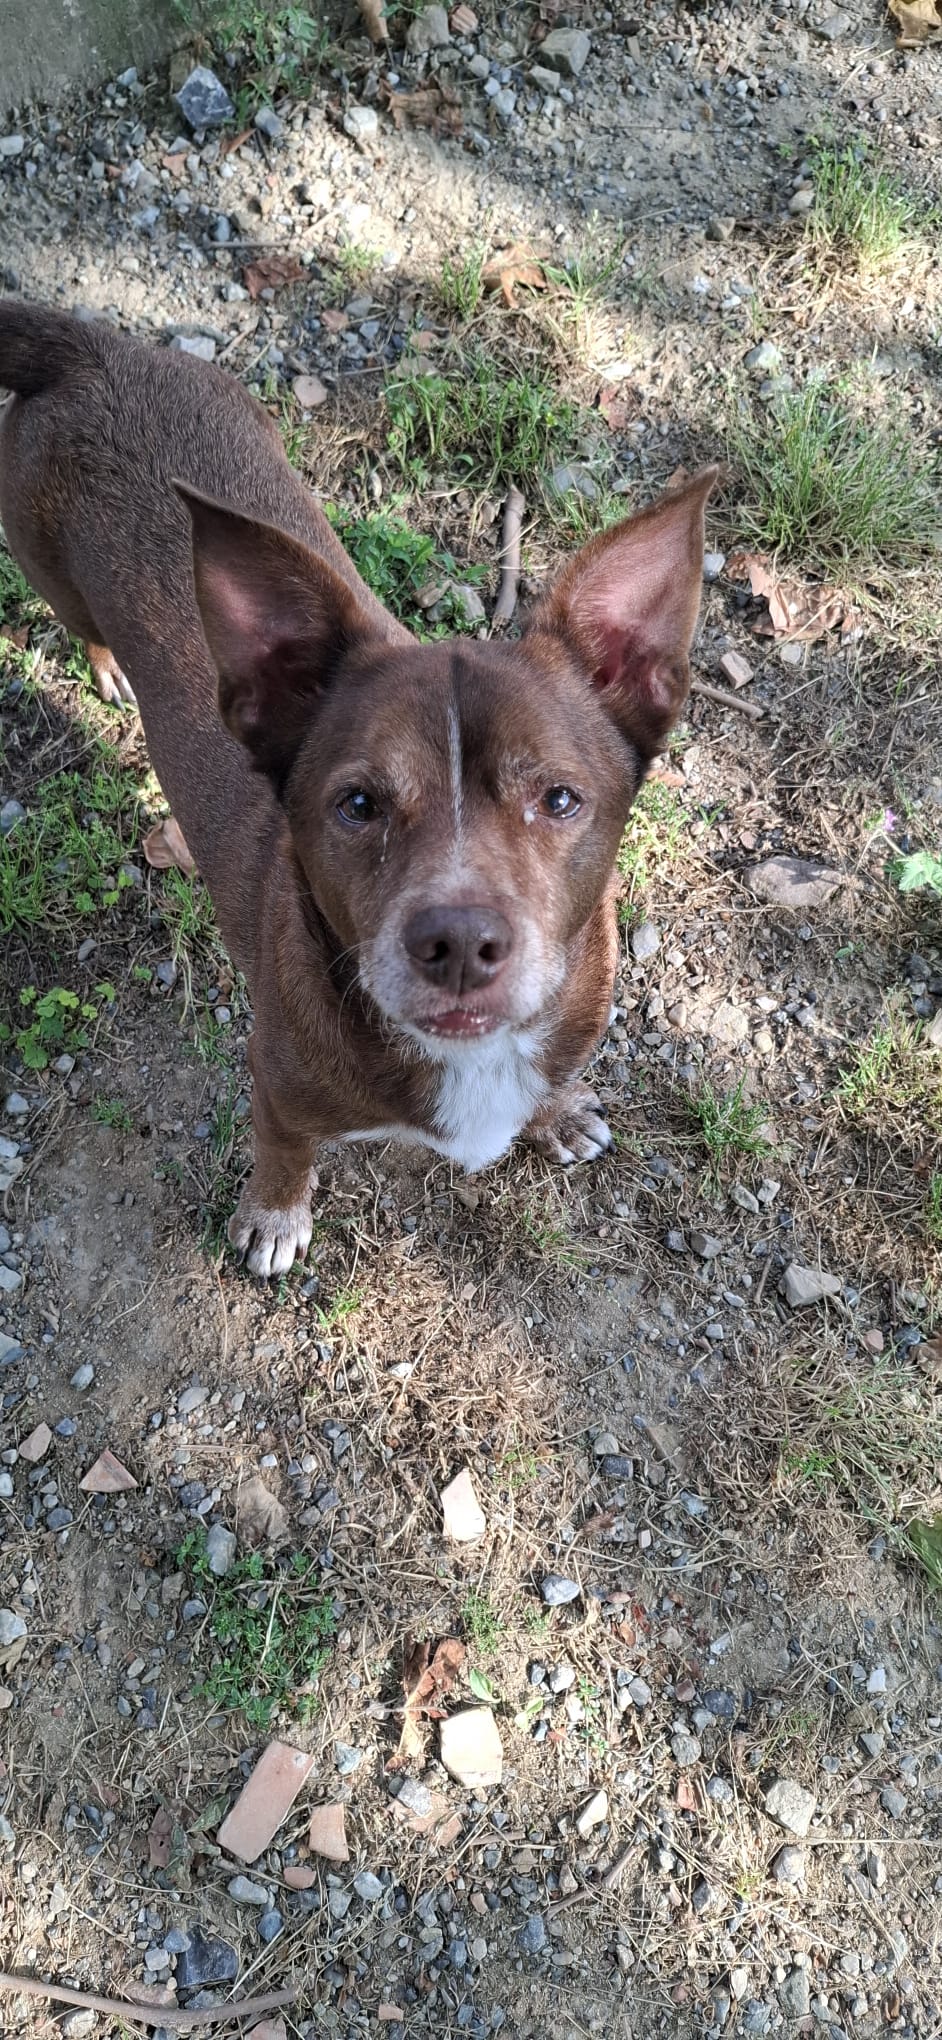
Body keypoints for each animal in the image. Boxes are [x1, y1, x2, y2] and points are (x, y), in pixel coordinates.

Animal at [0, 300, 714, 1276]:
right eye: (359, 805)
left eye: (560, 799)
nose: (460, 944)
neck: (472, 1061)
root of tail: (92, 346)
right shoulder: (274, 1088)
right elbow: (283, 1156)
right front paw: (273, 1218)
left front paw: (557, 1114)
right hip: (48, 567)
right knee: (82, 624)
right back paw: (110, 668)